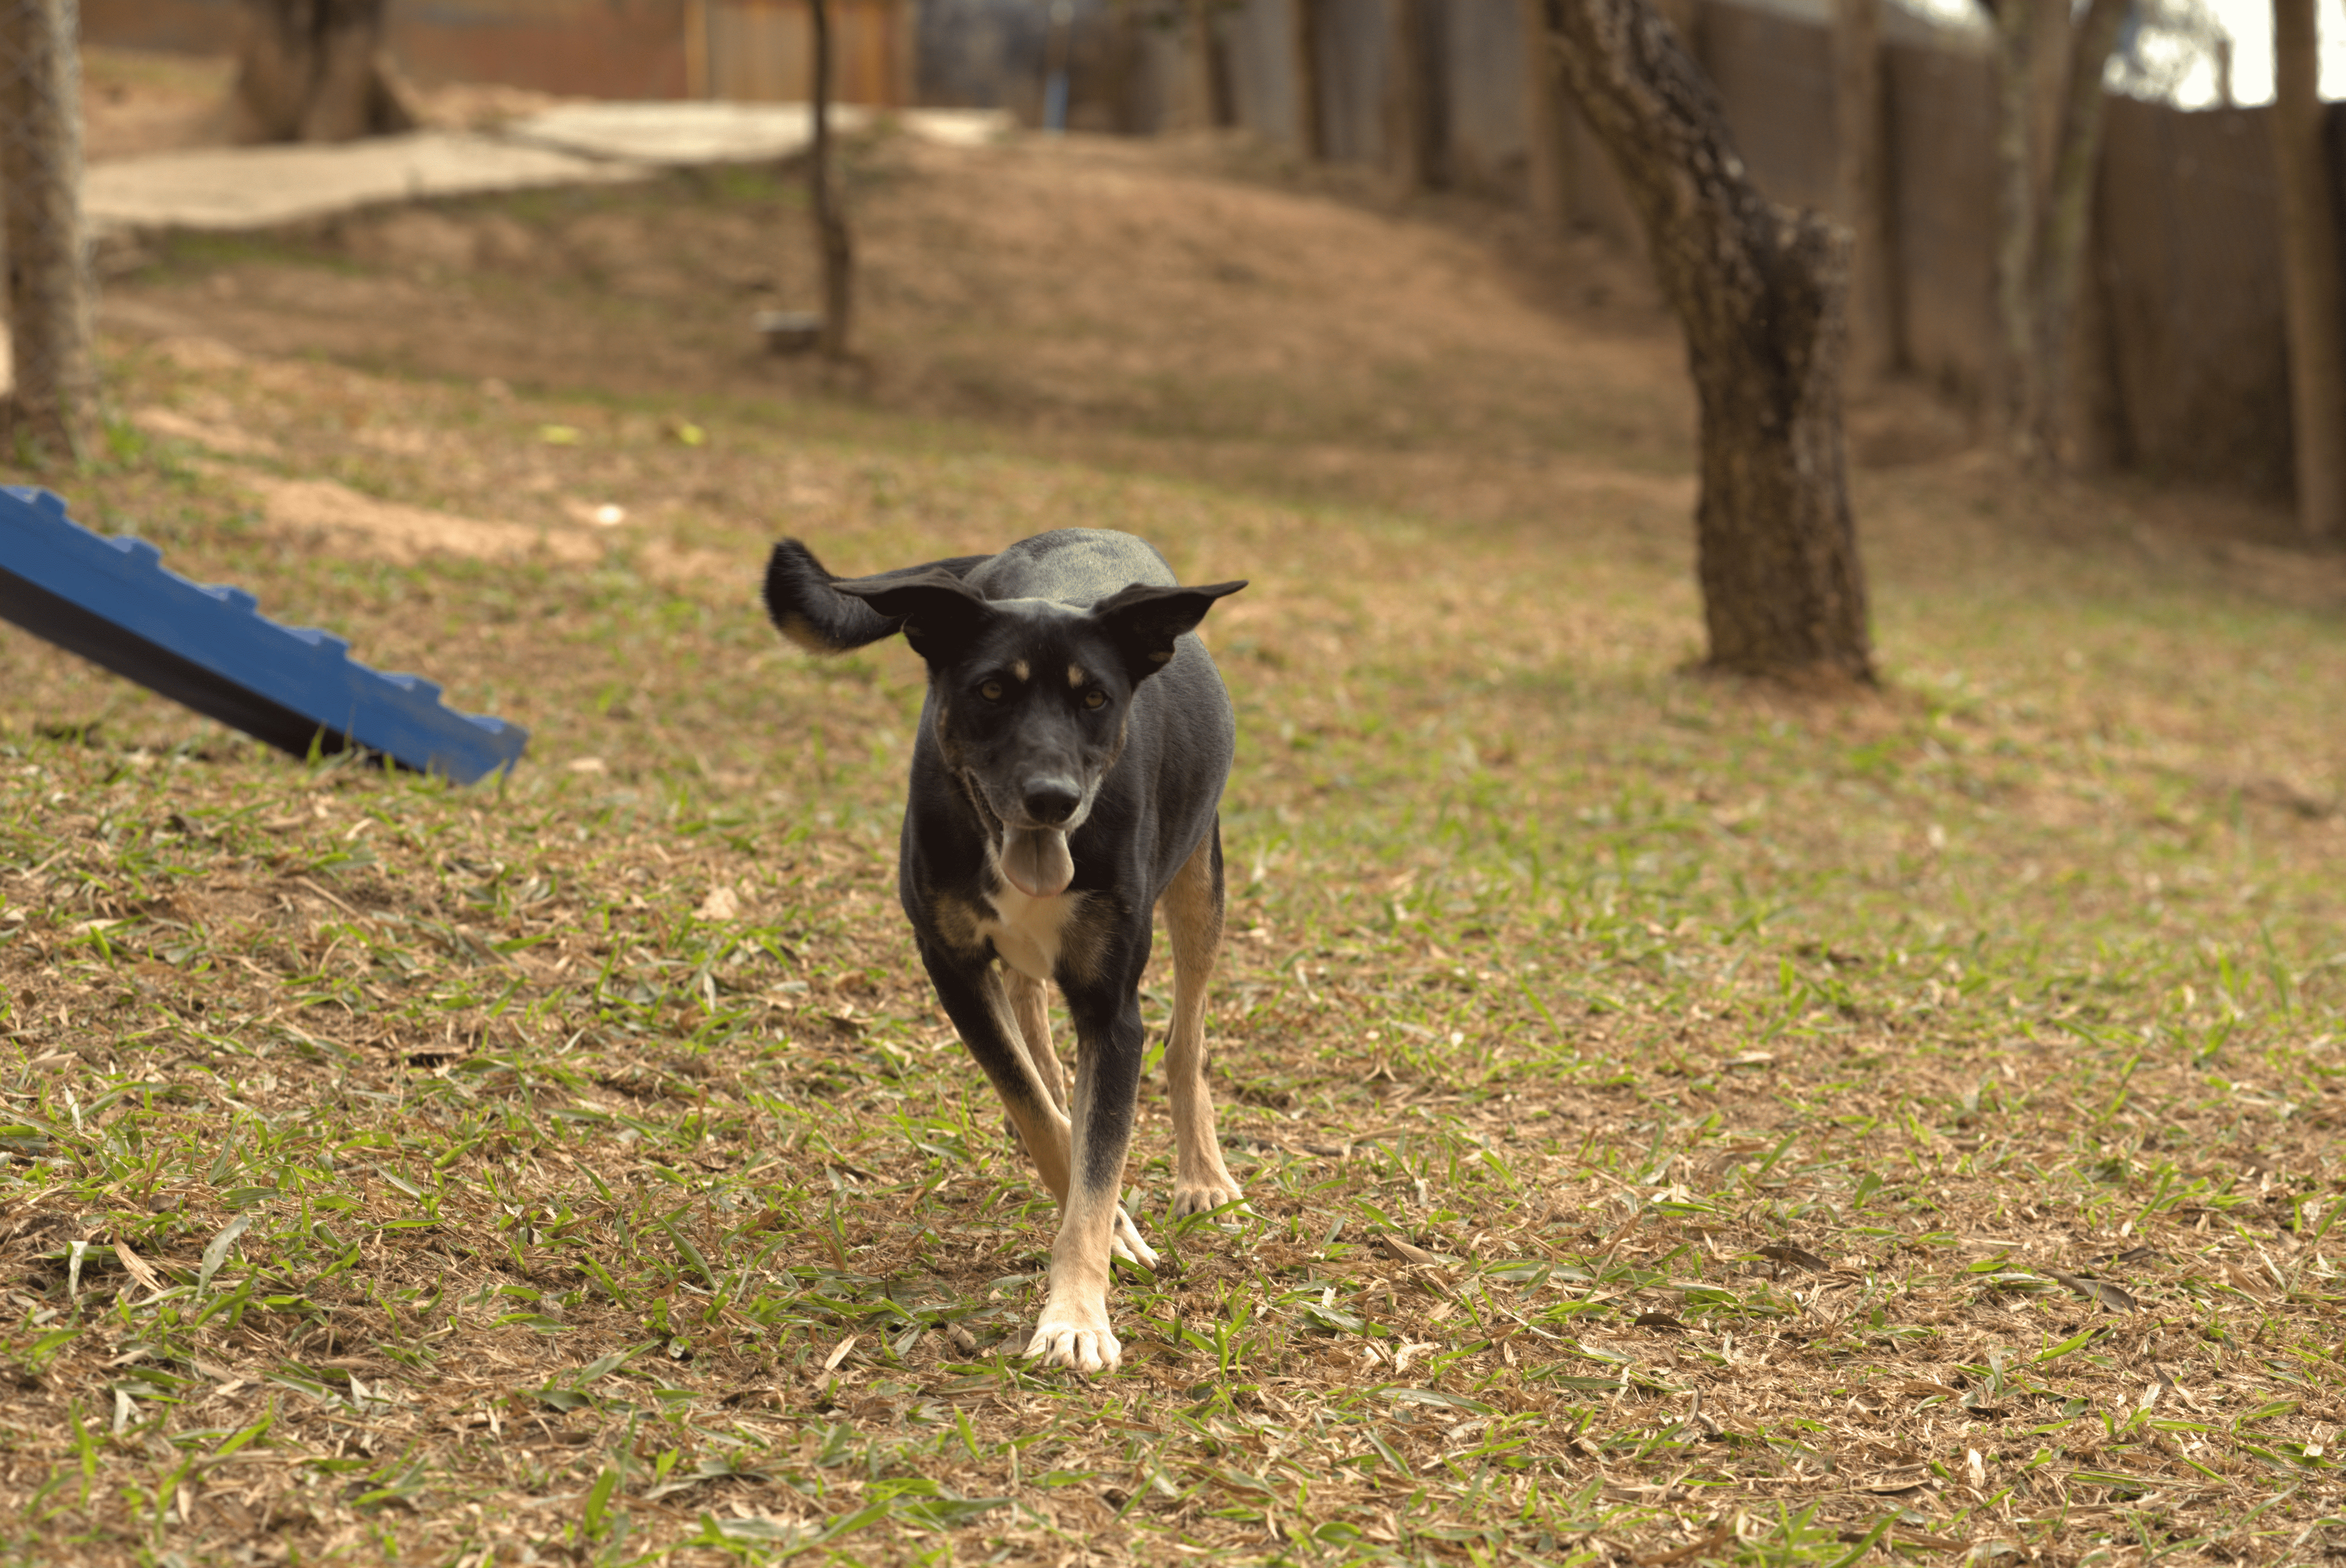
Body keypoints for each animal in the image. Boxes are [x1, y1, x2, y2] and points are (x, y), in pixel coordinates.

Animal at [765, 526, 1248, 1370]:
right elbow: (1036, 1112)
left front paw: (1077, 1318)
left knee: (1186, 1033)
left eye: (1095, 698)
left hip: (1198, 879)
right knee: (1036, 1032)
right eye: (991, 691)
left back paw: (1203, 1173)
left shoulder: (1111, 1006)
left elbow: (1097, 1153)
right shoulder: (952, 968)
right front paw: (1109, 1234)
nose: (1052, 800)